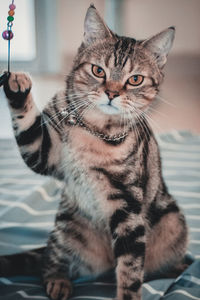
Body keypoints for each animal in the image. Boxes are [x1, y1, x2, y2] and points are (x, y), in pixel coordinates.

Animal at [2, 4, 188, 300]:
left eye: (135, 79)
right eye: (98, 71)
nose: (111, 93)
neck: (95, 129)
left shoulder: (128, 205)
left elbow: (130, 268)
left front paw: (128, 293)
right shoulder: (44, 153)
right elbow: (29, 130)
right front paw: (18, 87)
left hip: (173, 223)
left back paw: (178, 266)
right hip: (67, 226)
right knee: (49, 260)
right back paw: (58, 281)